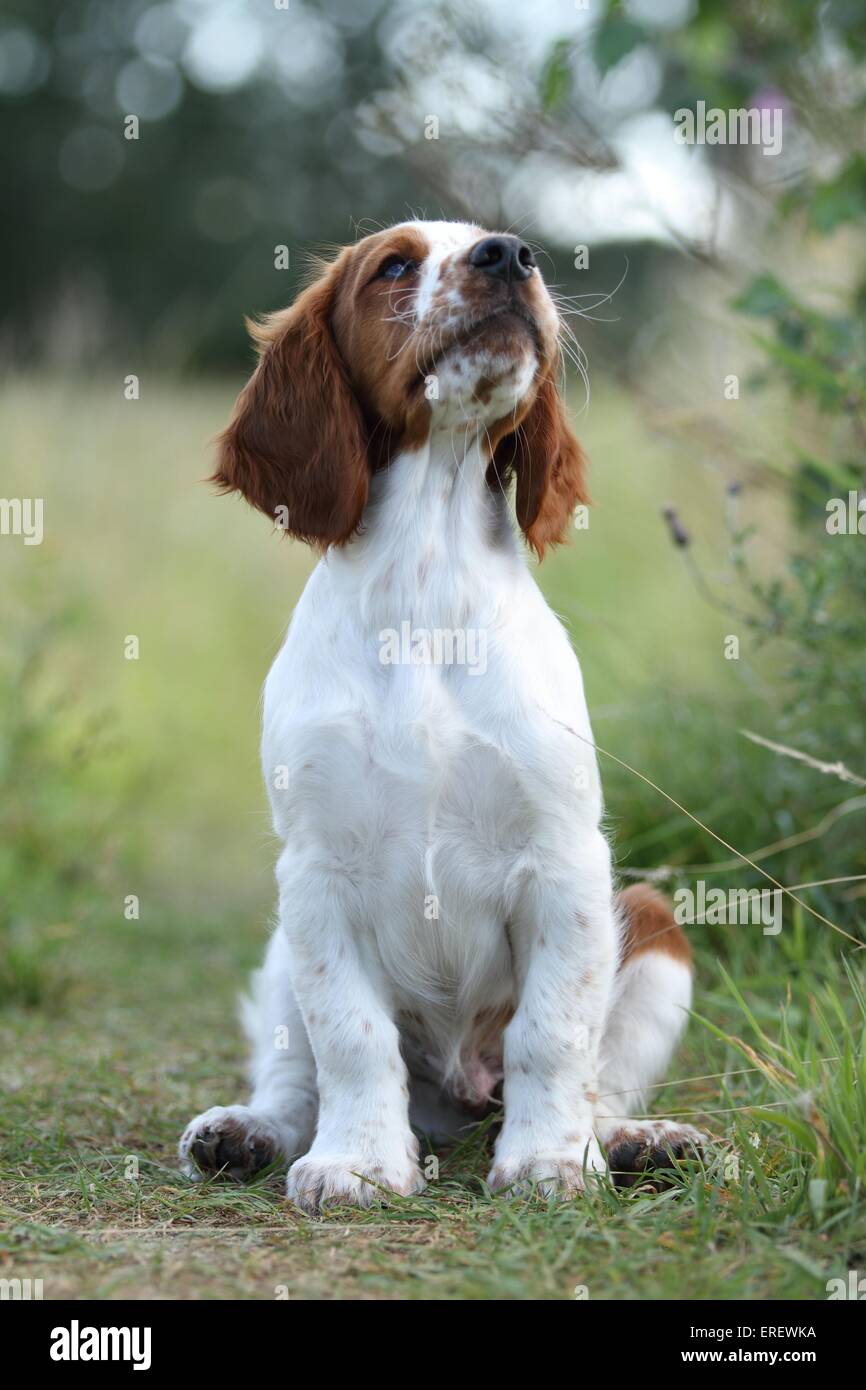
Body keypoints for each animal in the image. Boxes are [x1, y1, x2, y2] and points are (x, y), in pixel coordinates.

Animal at [177, 216, 706, 1206]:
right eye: (394, 266)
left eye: (513, 251)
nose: (510, 255)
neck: (425, 586)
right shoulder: (315, 874)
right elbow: (350, 1037)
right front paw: (357, 1161)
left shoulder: (566, 860)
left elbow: (553, 1034)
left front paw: (547, 1158)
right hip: (278, 945)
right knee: (291, 1075)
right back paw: (247, 1133)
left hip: (651, 918)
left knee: (604, 1080)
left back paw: (634, 1141)